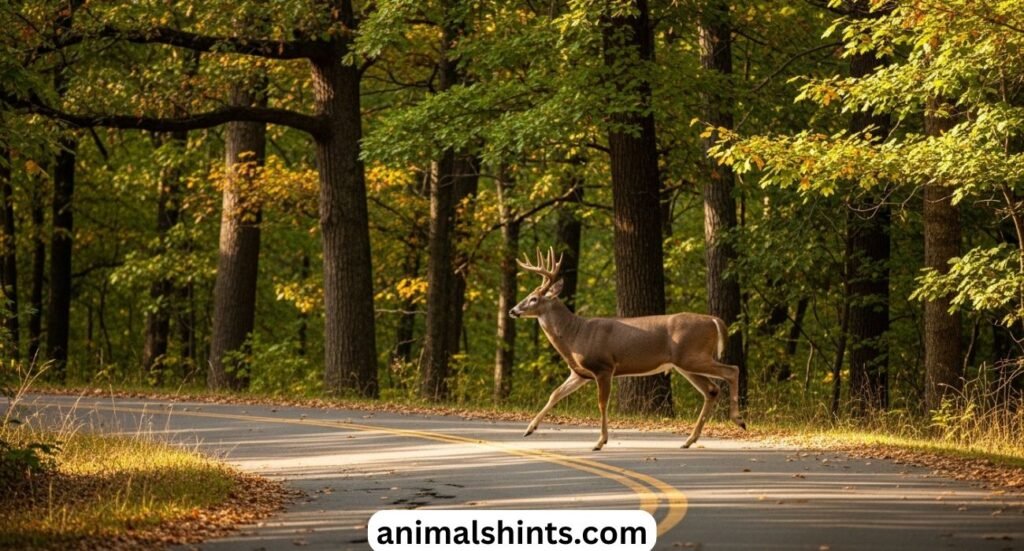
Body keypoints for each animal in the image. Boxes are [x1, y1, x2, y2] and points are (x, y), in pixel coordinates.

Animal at [508, 247, 746, 451]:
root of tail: (714, 320)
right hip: (685, 363)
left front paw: (600, 442)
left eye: (533, 298)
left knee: (732, 370)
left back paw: (738, 420)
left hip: (691, 356)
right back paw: (689, 440)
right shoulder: (580, 373)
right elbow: (555, 394)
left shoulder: (604, 367)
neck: (575, 334)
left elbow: (602, 403)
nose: (513, 310)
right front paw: (529, 429)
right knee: (712, 389)